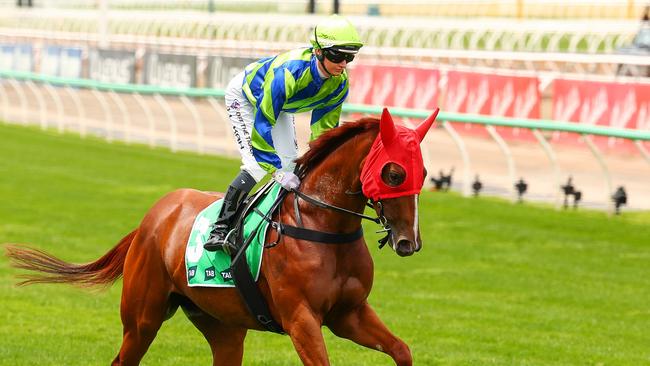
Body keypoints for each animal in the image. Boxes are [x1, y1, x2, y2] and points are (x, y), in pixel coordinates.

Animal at [6, 111, 436, 366]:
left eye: (425, 172)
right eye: (393, 173)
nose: (408, 242)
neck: (323, 227)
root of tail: (153, 216)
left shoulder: (350, 314)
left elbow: (402, 350)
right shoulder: (301, 318)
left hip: (222, 324)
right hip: (142, 317)